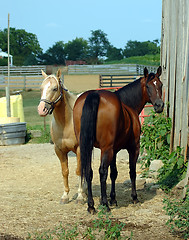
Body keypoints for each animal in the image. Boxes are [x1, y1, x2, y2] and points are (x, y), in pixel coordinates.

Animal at [37, 70, 84, 203]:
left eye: (54, 88)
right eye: (41, 88)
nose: (41, 109)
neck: (67, 123)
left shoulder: (79, 148)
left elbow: (79, 171)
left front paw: (80, 196)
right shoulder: (59, 150)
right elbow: (65, 172)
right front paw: (65, 195)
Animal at [72, 66, 164, 214]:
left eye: (160, 85)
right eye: (148, 86)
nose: (159, 105)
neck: (127, 105)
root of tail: (94, 95)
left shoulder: (114, 150)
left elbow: (113, 173)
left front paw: (113, 199)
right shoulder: (133, 148)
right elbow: (132, 172)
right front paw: (134, 197)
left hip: (88, 146)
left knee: (89, 171)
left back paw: (91, 205)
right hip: (106, 149)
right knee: (102, 172)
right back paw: (104, 205)